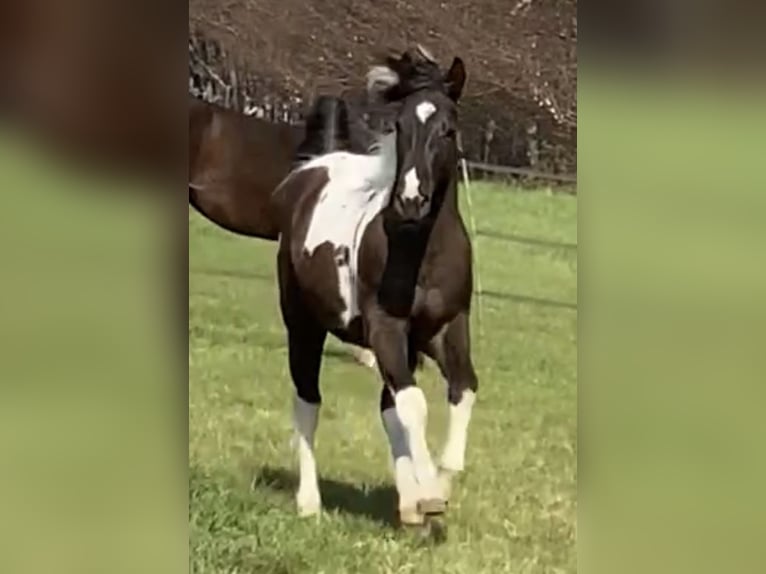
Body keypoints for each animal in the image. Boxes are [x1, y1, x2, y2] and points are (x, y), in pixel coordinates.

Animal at [272, 48, 476, 526]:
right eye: (398, 126)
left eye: (448, 128)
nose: (411, 200)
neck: (420, 251)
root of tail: (315, 169)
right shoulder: (386, 329)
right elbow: (414, 404)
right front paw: (430, 495)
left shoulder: (447, 327)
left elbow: (461, 392)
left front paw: (435, 490)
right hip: (303, 325)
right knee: (307, 402)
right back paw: (309, 502)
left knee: (388, 408)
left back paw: (407, 505)